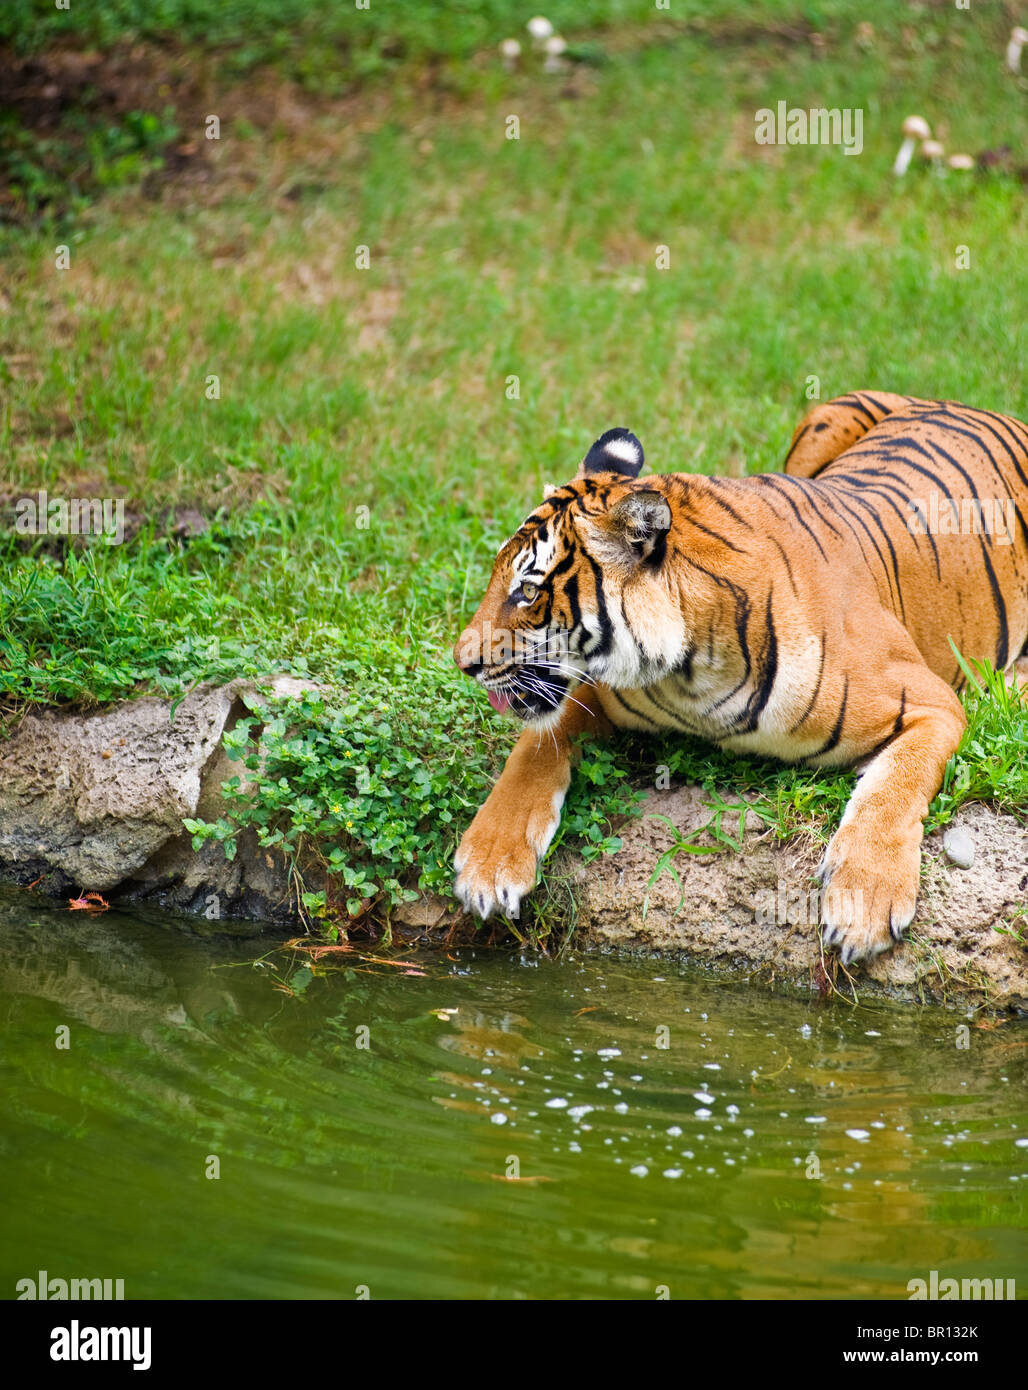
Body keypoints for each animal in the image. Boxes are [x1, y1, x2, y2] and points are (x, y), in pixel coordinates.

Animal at [452, 386, 1028, 961]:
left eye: (527, 591)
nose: (463, 662)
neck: (689, 679)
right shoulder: (597, 694)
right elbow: (534, 749)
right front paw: (488, 864)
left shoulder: (931, 701)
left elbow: (894, 787)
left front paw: (863, 903)